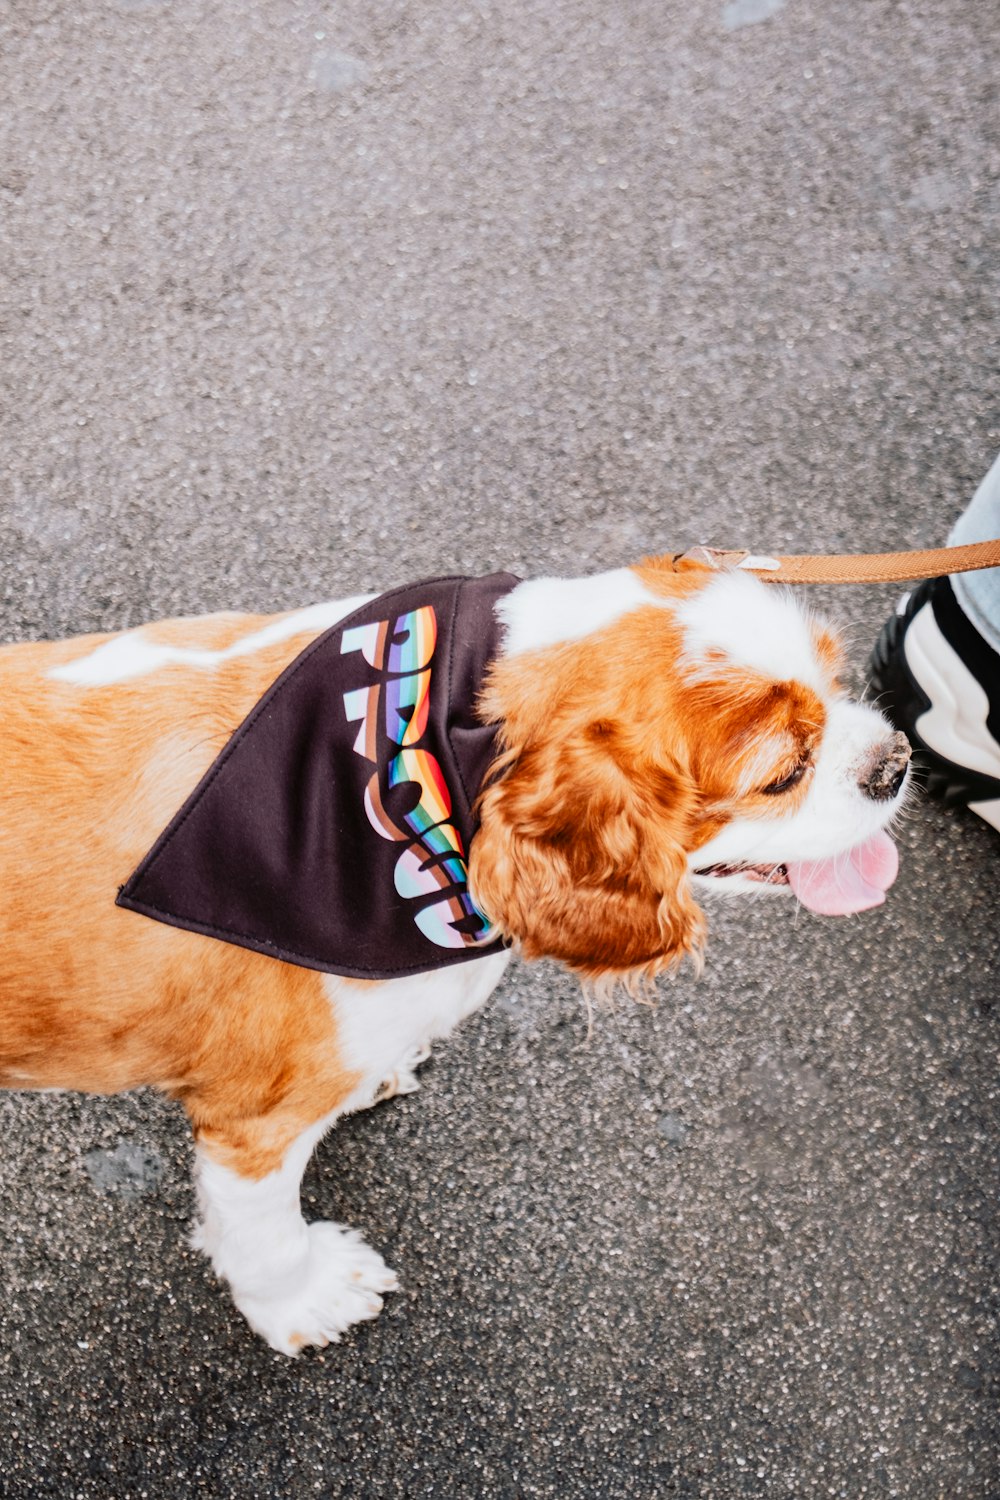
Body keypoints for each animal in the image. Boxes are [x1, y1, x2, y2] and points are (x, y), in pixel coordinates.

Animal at [0, 558, 911, 1356]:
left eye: (836, 679)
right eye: (782, 773)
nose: (896, 760)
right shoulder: (252, 1118)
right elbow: (265, 1237)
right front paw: (303, 1299)